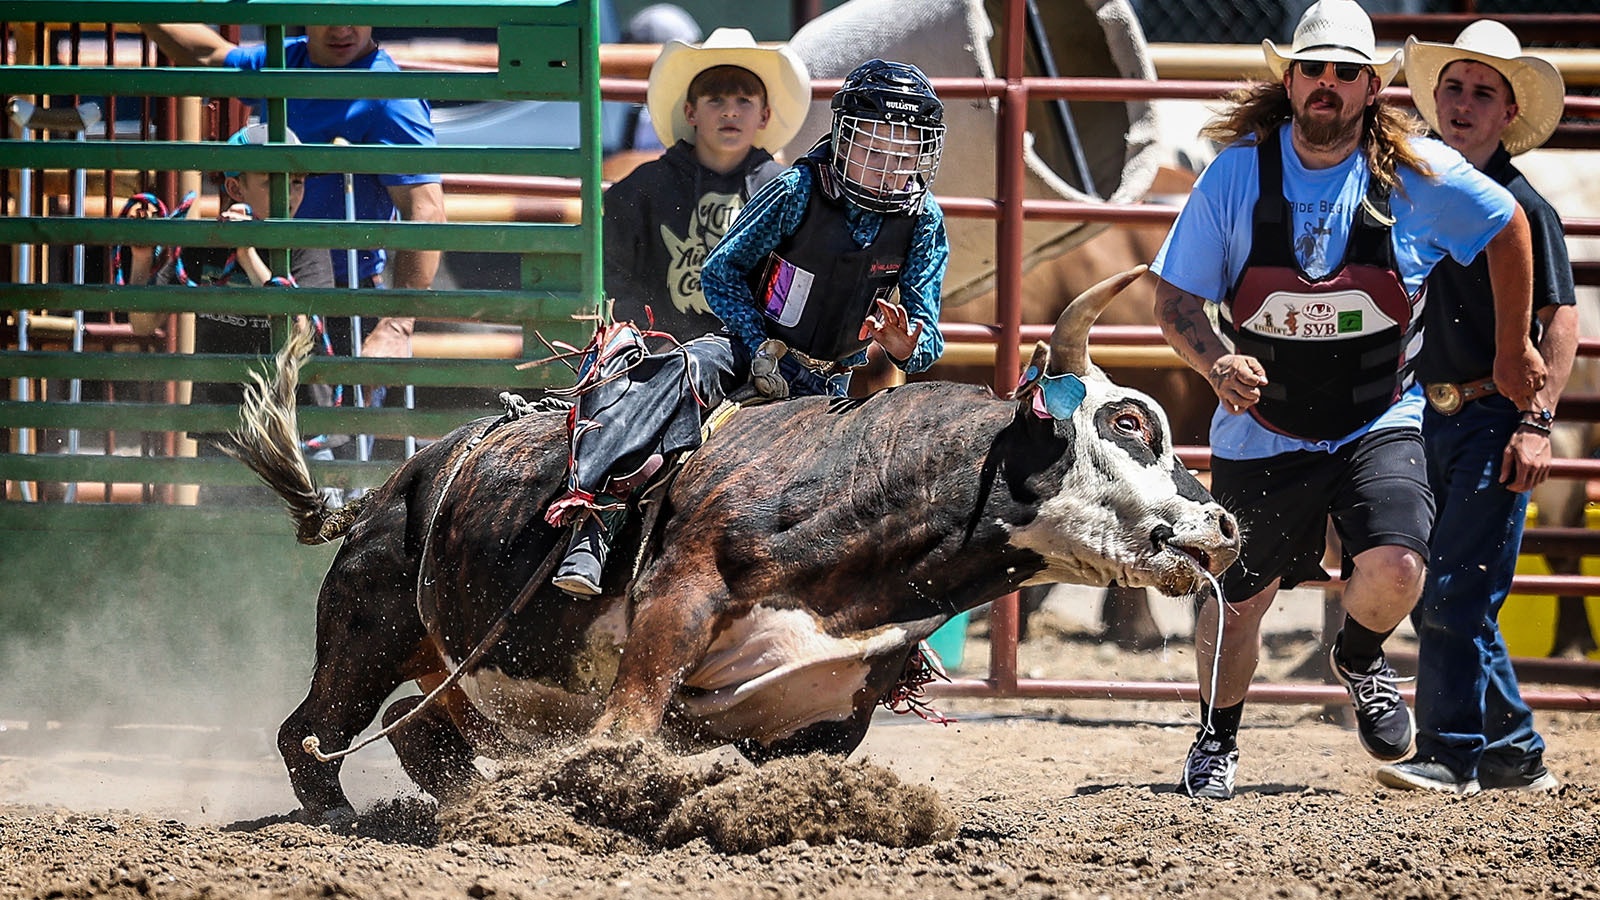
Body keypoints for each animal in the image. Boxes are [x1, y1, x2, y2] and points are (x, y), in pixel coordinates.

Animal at [233, 264, 1235, 819]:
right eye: (1131, 421)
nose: (1223, 527)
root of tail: (386, 491)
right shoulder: (678, 598)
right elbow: (626, 729)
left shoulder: (823, 714)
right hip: (364, 637)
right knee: (307, 733)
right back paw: (341, 819)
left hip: (460, 674)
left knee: (422, 735)